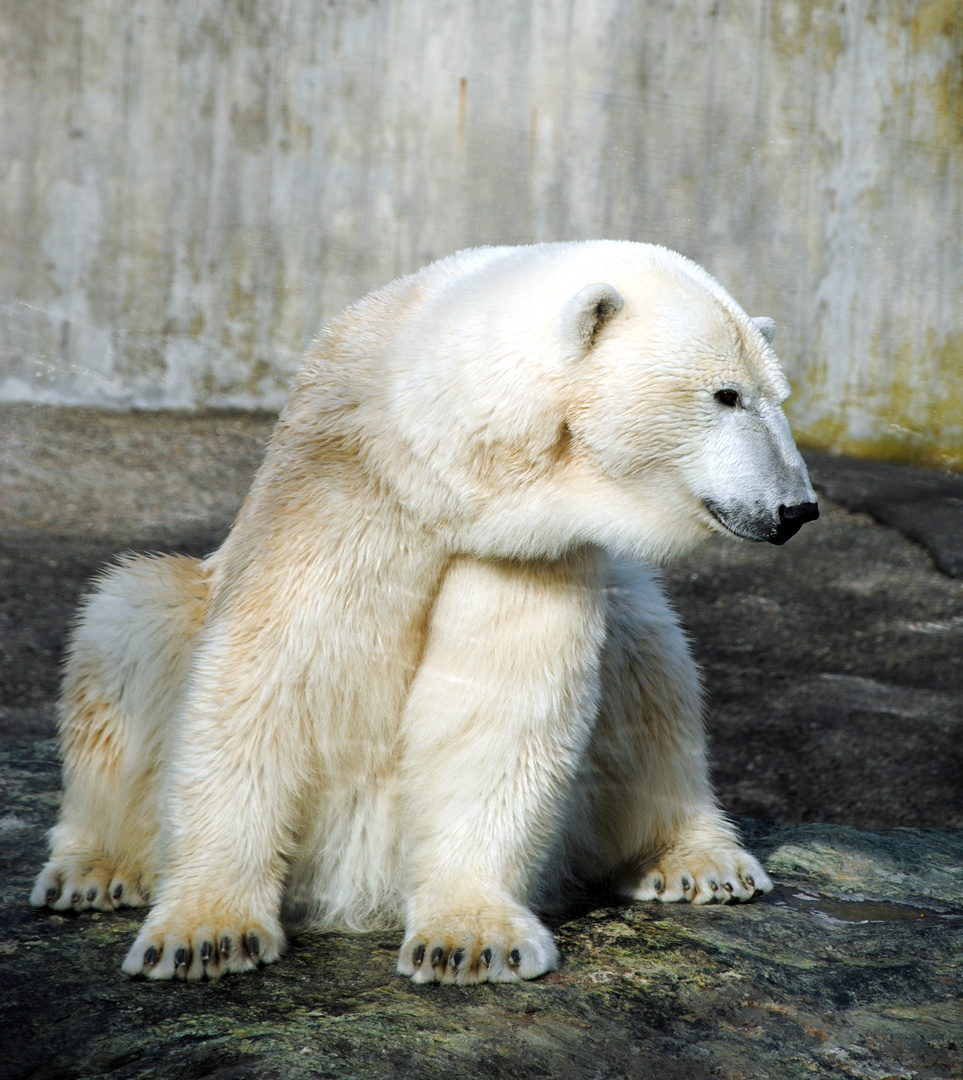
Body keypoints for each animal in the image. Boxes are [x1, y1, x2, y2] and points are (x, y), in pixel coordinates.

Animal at [33, 245, 820, 989]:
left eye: (777, 395)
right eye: (726, 394)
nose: (797, 508)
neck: (441, 468)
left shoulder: (524, 549)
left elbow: (497, 712)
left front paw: (469, 942)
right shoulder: (337, 493)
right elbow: (267, 677)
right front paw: (206, 936)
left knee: (651, 657)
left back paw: (701, 861)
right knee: (126, 621)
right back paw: (95, 870)